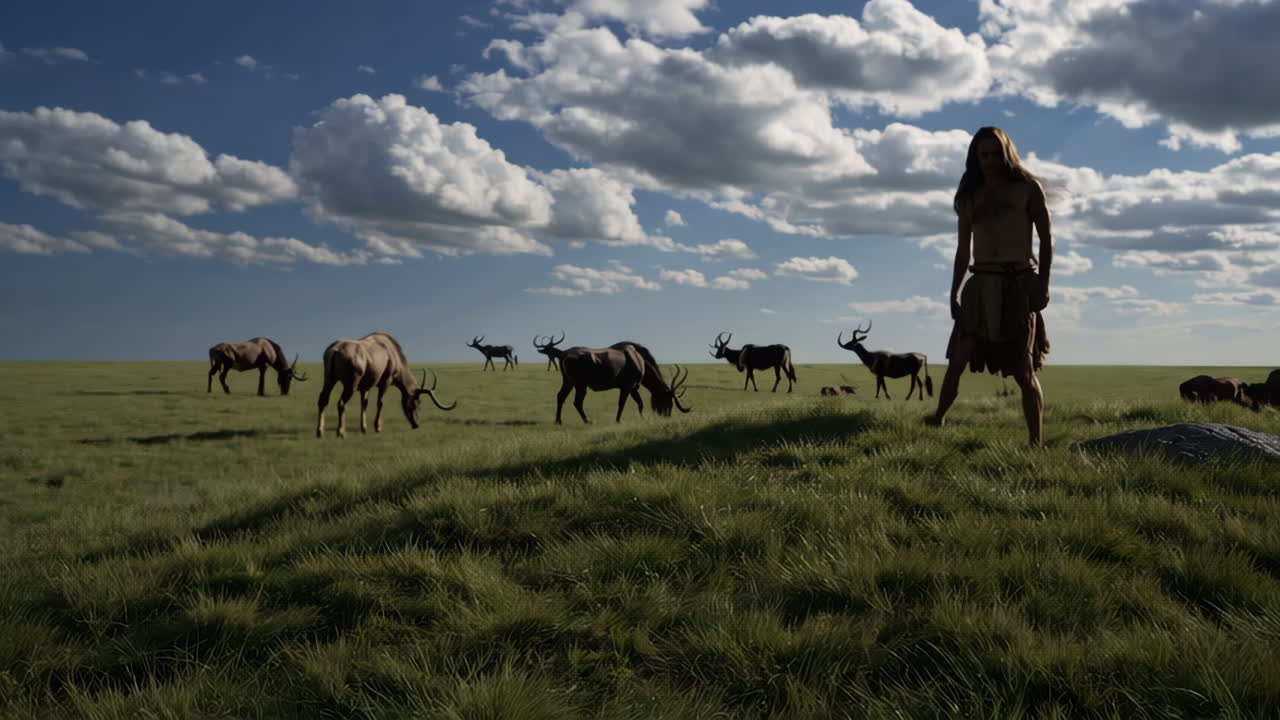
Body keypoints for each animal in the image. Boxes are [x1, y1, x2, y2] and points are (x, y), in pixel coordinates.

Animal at [316, 331, 457, 438]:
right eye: (417, 402)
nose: (416, 424)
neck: (394, 356)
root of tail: (335, 350)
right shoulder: (386, 381)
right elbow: (380, 402)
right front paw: (378, 427)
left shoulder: (365, 386)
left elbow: (364, 404)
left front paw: (364, 428)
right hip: (351, 383)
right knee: (340, 402)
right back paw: (341, 432)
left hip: (329, 379)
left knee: (323, 399)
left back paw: (319, 431)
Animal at [555, 341, 691, 424]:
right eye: (667, 400)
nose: (666, 416)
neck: (640, 359)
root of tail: (563, 354)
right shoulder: (628, 386)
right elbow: (622, 404)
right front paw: (618, 421)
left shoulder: (634, 388)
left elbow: (640, 404)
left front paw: (642, 419)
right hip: (580, 384)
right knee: (577, 402)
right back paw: (587, 421)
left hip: (568, 381)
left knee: (560, 396)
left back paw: (558, 421)